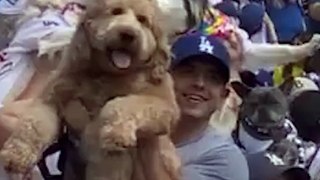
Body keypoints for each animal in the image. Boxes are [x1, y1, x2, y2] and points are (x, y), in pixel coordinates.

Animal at [0, 0, 180, 179]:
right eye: (116, 11)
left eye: (142, 20)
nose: (128, 34)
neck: (106, 74)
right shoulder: (54, 96)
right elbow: (35, 123)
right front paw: (17, 154)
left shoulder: (164, 105)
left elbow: (122, 105)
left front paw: (115, 131)